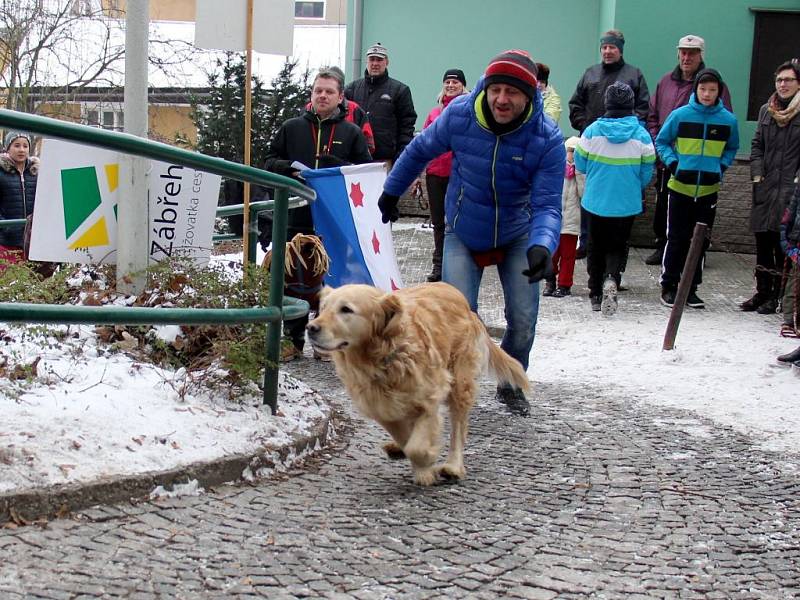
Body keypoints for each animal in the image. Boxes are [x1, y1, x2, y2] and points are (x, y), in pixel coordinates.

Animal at [306, 282, 532, 488]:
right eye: (323, 307)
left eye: (346, 309)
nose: (311, 328)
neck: (383, 358)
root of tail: (464, 303)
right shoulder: (381, 408)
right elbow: (406, 439)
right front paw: (421, 467)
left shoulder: (430, 396)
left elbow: (416, 446)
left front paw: (427, 462)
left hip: (460, 382)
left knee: (458, 428)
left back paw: (453, 466)